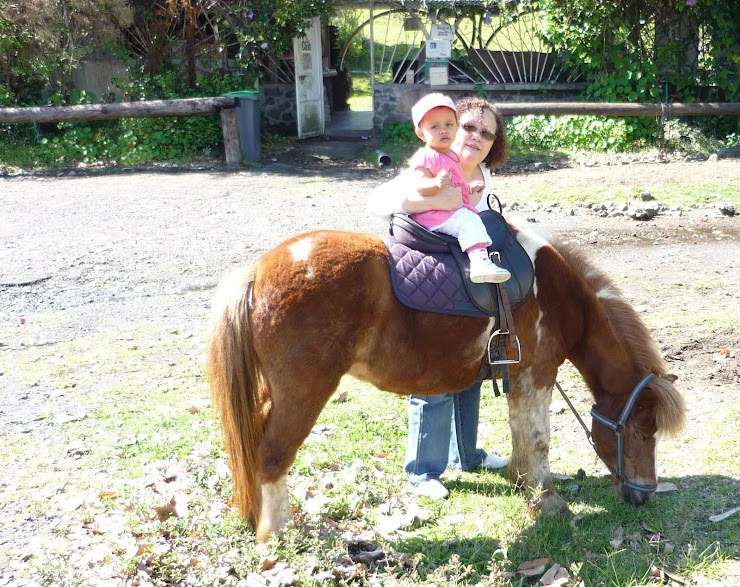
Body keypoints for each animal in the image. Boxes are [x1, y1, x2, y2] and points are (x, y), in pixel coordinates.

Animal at [205, 219, 684, 544]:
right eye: (643, 431)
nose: (645, 495)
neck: (560, 296)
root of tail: (257, 270)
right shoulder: (539, 372)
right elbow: (539, 439)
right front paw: (548, 501)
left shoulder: (518, 375)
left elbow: (519, 430)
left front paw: (519, 479)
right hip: (303, 393)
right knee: (272, 454)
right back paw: (278, 533)